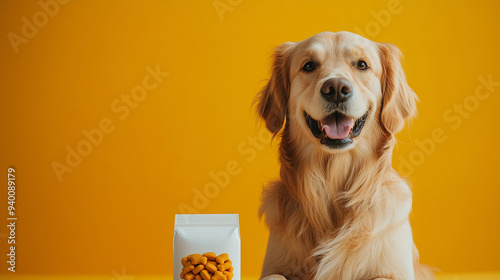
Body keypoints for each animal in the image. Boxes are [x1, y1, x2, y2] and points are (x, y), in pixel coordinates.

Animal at [256, 31, 436, 280]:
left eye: (362, 65)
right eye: (309, 65)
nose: (336, 88)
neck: (334, 178)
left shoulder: (397, 271)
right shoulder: (274, 266)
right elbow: (275, 276)